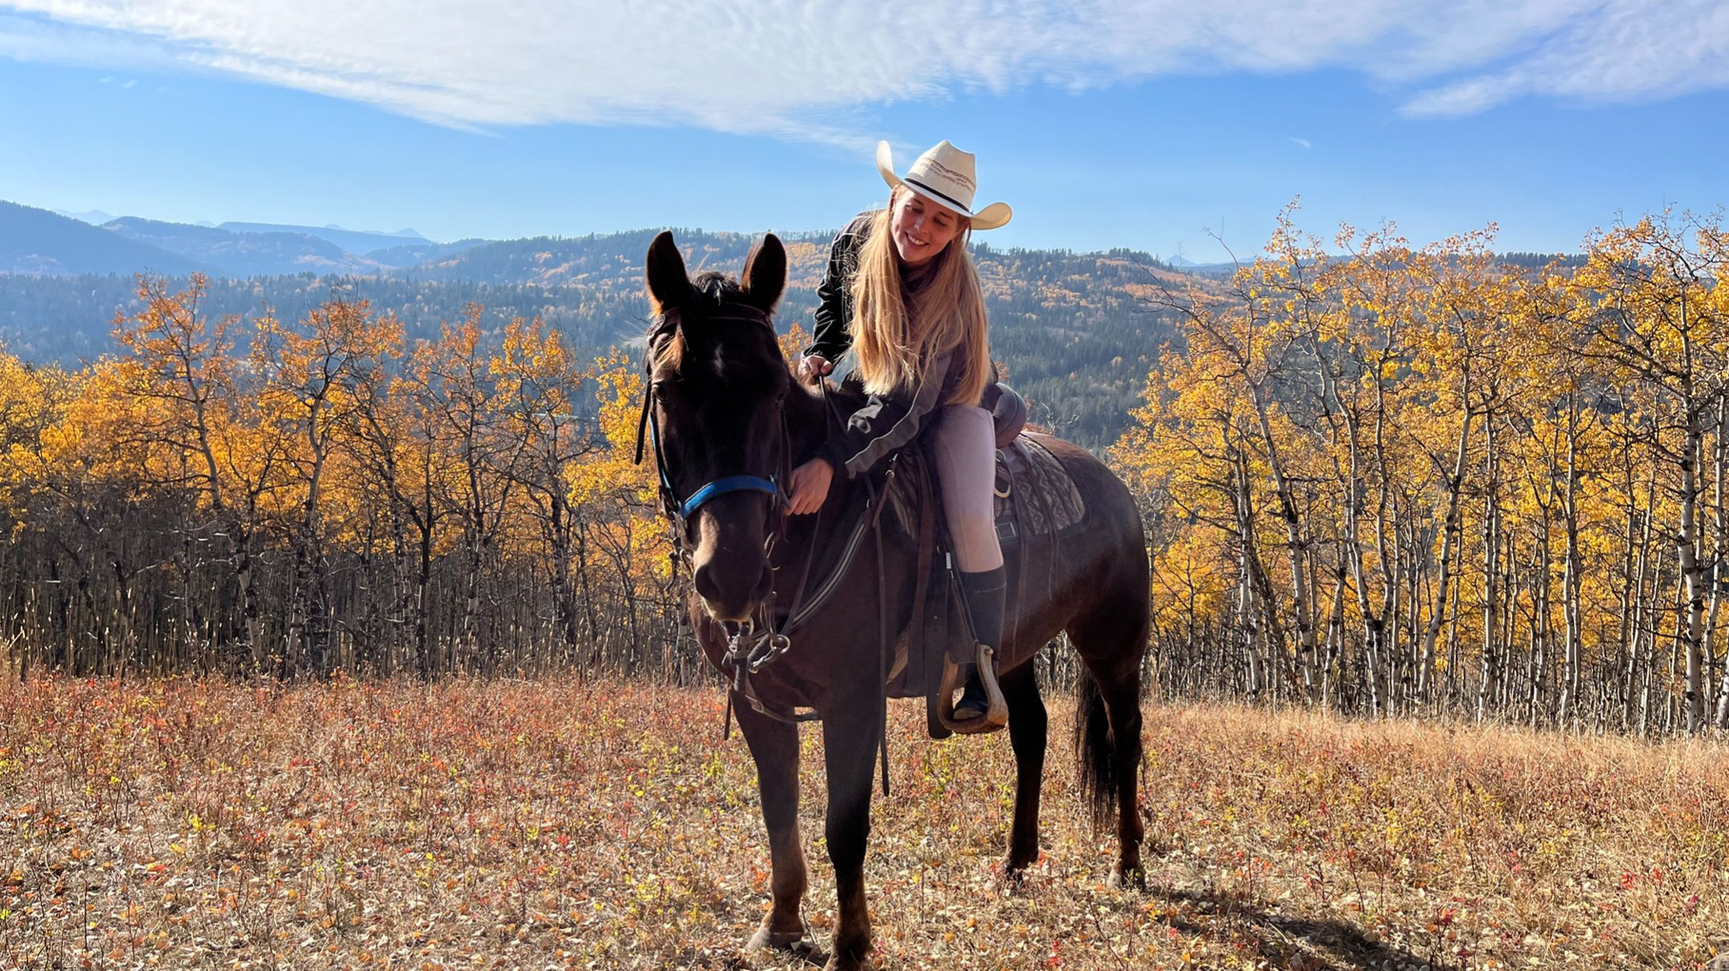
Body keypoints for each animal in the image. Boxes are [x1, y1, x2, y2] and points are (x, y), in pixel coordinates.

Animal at [640, 230, 1149, 970]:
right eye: (667, 390)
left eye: (772, 392)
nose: (730, 573)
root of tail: (1113, 486)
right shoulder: (757, 702)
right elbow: (779, 807)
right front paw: (781, 924)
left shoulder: (854, 701)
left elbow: (843, 824)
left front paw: (850, 943)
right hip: (1012, 650)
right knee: (1030, 731)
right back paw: (1016, 863)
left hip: (1113, 646)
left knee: (1127, 736)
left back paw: (1127, 863)